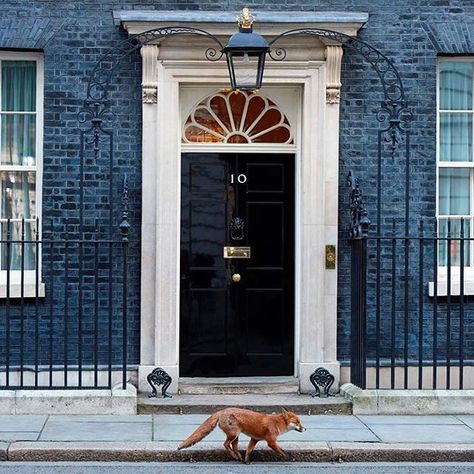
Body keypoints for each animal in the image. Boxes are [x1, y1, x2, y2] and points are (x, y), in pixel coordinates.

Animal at [176, 408, 306, 462]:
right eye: (297, 422)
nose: (305, 428)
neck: (277, 423)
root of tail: (222, 411)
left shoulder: (254, 439)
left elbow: (249, 451)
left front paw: (247, 461)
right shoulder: (271, 442)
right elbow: (281, 450)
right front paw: (287, 457)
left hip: (236, 436)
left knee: (233, 446)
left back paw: (239, 457)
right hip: (233, 434)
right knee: (225, 444)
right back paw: (235, 456)